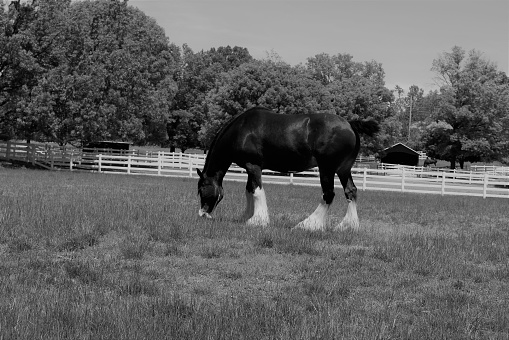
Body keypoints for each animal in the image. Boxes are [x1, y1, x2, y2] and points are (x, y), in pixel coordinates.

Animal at [196, 106, 380, 231]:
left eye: (202, 189)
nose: (203, 214)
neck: (242, 130)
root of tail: (349, 124)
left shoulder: (253, 166)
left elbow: (256, 191)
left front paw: (258, 220)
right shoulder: (251, 168)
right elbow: (249, 190)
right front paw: (247, 216)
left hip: (327, 168)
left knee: (328, 194)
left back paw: (308, 224)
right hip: (343, 169)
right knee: (351, 191)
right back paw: (347, 226)